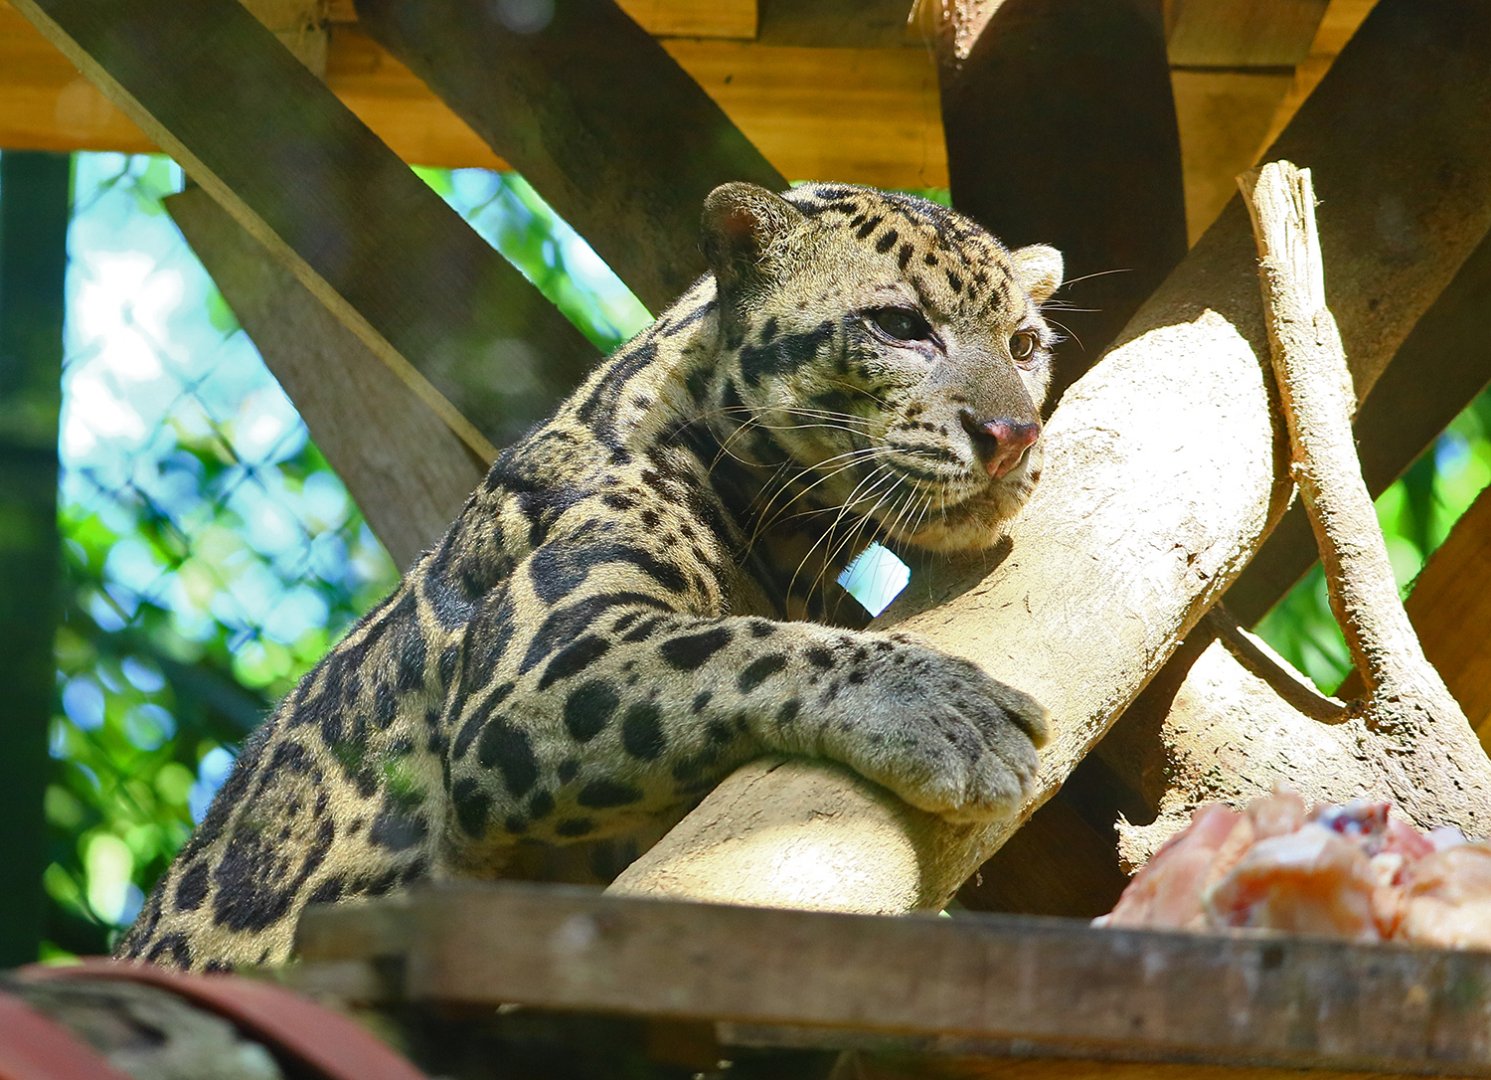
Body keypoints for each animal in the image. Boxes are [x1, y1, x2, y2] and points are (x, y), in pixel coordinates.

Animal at [116, 182, 1062, 972]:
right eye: (899, 326)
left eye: (1024, 347)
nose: (1011, 434)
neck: (790, 537)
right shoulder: (536, 669)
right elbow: (748, 645)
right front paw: (945, 711)